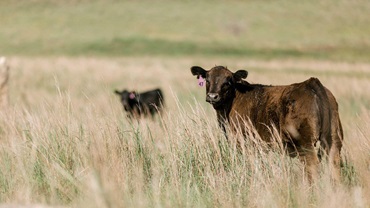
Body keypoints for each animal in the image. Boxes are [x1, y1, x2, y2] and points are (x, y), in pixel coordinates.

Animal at [191, 65, 344, 182]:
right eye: (207, 79)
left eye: (228, 82)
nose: (212, 96)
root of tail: (310, 83)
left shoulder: (242, 140)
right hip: (333, 140)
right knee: (334, 165)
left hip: (305, 143)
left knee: (312, 166)